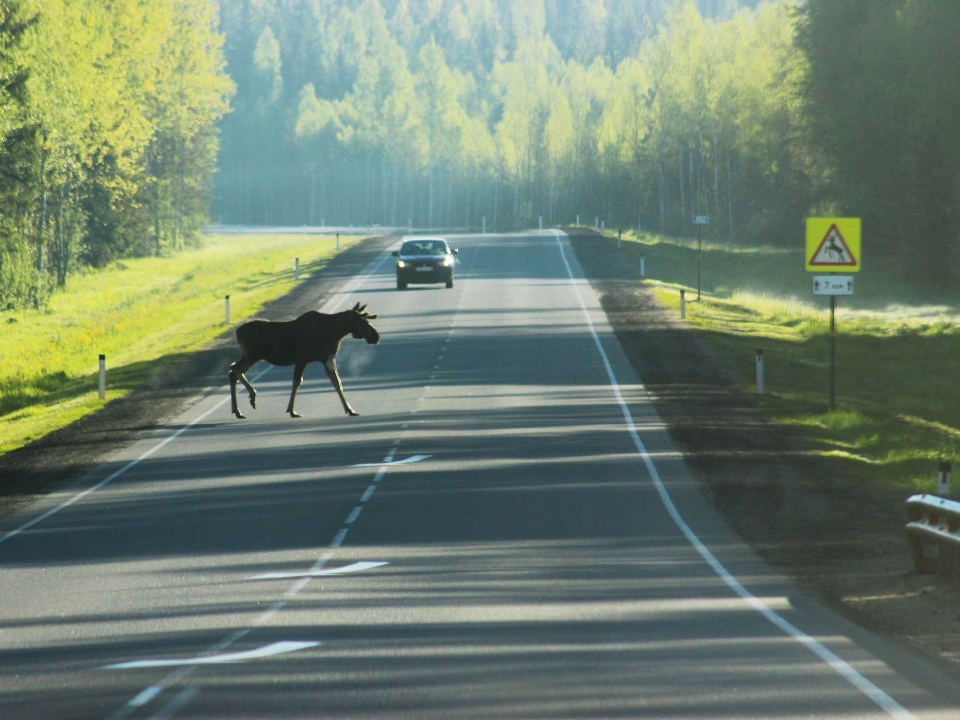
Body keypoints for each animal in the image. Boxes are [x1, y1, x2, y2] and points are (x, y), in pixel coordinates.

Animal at [231, 302, 380, 416]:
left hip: (249, 356)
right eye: (362, 322)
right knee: (234, 369)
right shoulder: (302, 359)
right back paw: (249, 399)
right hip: (252, 356)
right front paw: (291, 410)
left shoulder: (328, 359)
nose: (376, 336)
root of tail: (237, 332)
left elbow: (337, 382)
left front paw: (350, 409)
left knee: (233, 371)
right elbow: (297, 382)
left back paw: (239, 408)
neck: (335, 333)